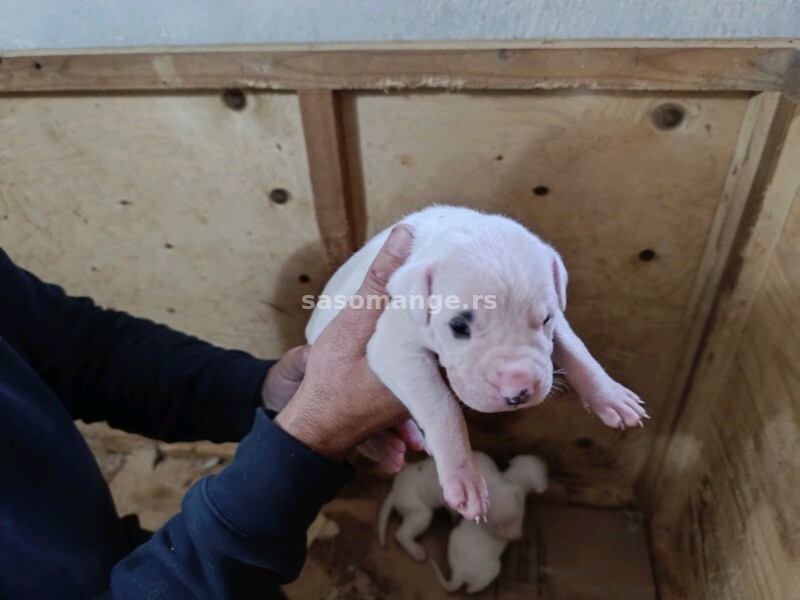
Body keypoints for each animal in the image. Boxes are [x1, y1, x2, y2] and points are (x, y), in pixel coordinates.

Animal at [304, 206, 644, 520]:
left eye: (546, 318)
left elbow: (576, 349)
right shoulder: (394, 346)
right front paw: (464, 479)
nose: (519, 391)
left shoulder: (559, 322)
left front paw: (612, 397)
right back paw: (385, 449)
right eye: (458, 327)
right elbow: (442, 406)